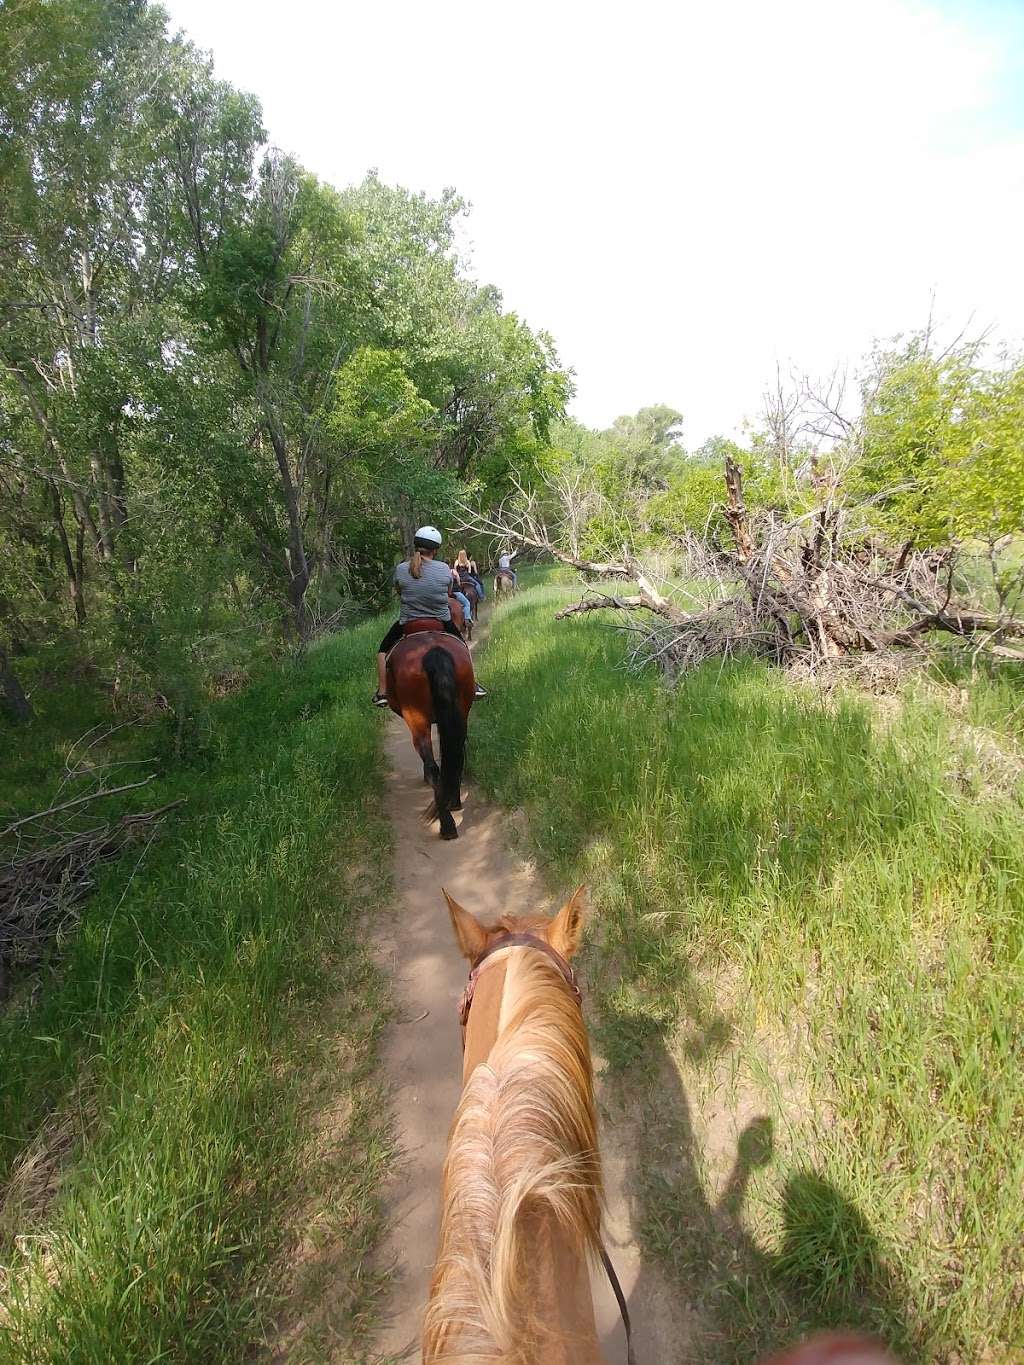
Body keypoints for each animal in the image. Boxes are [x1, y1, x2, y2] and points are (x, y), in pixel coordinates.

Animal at [385, 625, 477, 835]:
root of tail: (435, 653)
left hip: (416, 717)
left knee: (432, 764)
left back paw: (447, 825)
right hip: (462, 708)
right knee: (456, 754)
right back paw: (454, 802)